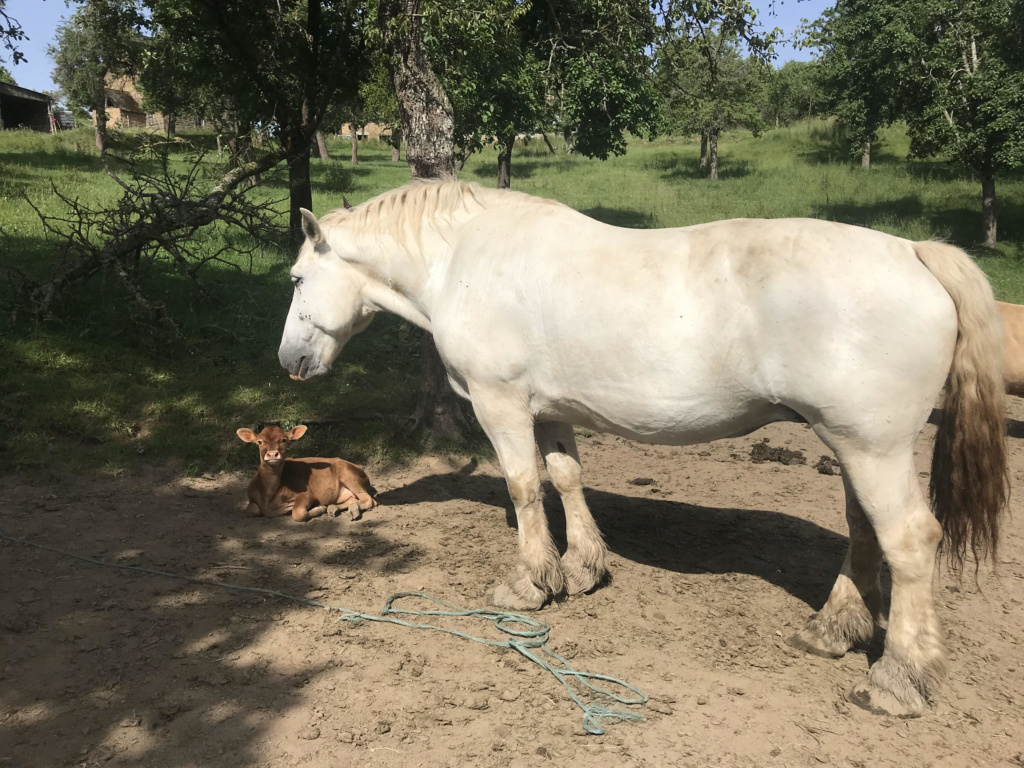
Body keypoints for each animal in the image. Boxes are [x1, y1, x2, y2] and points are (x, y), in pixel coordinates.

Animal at [235, 423, 380, 528]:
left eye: (284, 440)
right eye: (259, 441)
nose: (272, 454)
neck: (268, 496)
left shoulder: (307, 494)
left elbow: (297, 513)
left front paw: (319, 508)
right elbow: (251, 511)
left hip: (346, 472)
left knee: (369, 500)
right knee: (353, 499)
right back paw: (335, 508)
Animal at [280, 179, 1007, 716]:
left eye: (294, 279)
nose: (288, 360)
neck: (464, 259)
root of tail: (913, 252)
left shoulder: (501, 404)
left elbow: (523, 486)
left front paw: (530, 584)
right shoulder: (552, 411)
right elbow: (565, 479)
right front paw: (581, 569)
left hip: (872, 448)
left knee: (909, 540)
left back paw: (898, 680)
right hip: (852, 447)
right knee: (864, 531)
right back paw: (831, 632)